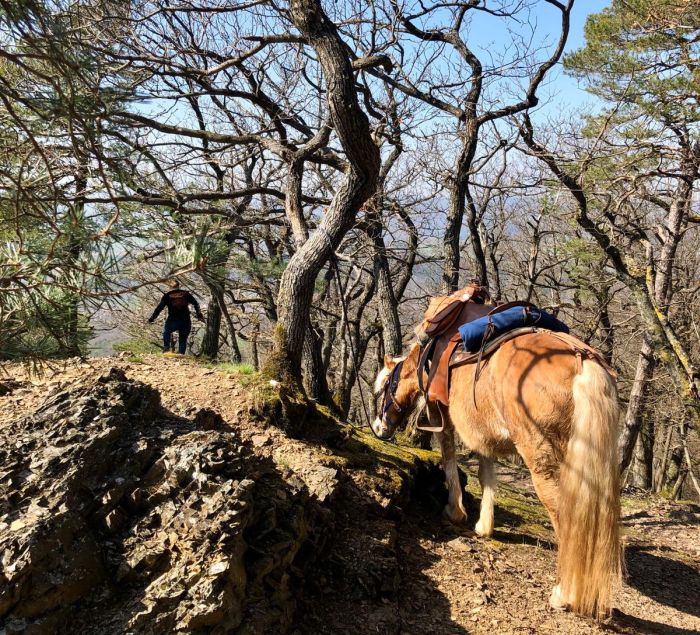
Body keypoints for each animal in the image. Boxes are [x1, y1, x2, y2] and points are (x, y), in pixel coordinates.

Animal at [372, 298, 624, 620]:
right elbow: (487, 475)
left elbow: (449, 459)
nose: (379, 428)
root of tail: (583, 361)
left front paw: (455, 511)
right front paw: (484, 525)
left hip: (543, 458)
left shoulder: (447, 420)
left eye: (381, 388)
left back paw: (563, 594)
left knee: (565, 516)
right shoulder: (483, 431)